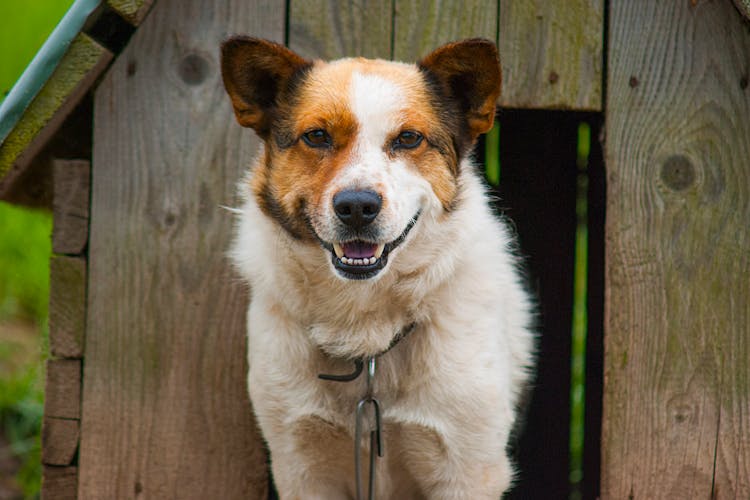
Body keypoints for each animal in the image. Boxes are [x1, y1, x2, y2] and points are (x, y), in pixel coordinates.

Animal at [220, 37, 536, 498]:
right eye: (317, 136)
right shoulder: (302, 466)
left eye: (408, 138)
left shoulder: (467, 470)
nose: (357, 206)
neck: (365, 330)